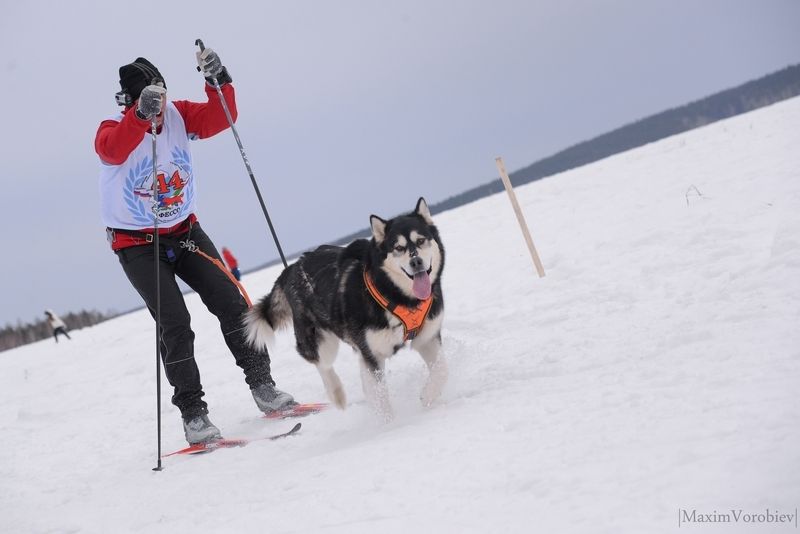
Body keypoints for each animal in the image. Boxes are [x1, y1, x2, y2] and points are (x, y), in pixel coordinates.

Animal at [244, 199, 444, 420]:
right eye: (398, 247)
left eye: (421, 240)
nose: (416, 262)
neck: (397, 296)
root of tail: (291, 268)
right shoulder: (371, 354)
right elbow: (381, 398)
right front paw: (389, 424)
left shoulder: (427, 338)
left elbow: (441, 369)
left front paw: (428, 396)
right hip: (321, 341)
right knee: (321, 363)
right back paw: (336, 394)